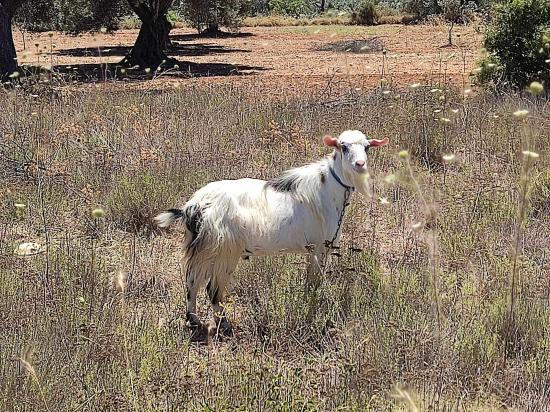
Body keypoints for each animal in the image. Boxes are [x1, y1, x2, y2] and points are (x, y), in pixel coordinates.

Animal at [153, 130, 390, 342]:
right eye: (343, 146)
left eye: (367, 147)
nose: (360, 164)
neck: (328, 188)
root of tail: (192, 206)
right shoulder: (321, 247)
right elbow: (315, 282)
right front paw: (313, 306)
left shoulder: (312, 250)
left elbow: (309, 280)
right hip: (222, 250)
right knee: (212, 289)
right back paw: (225, 324)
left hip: (203, 250)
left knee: (192, 282)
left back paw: (194, 321)